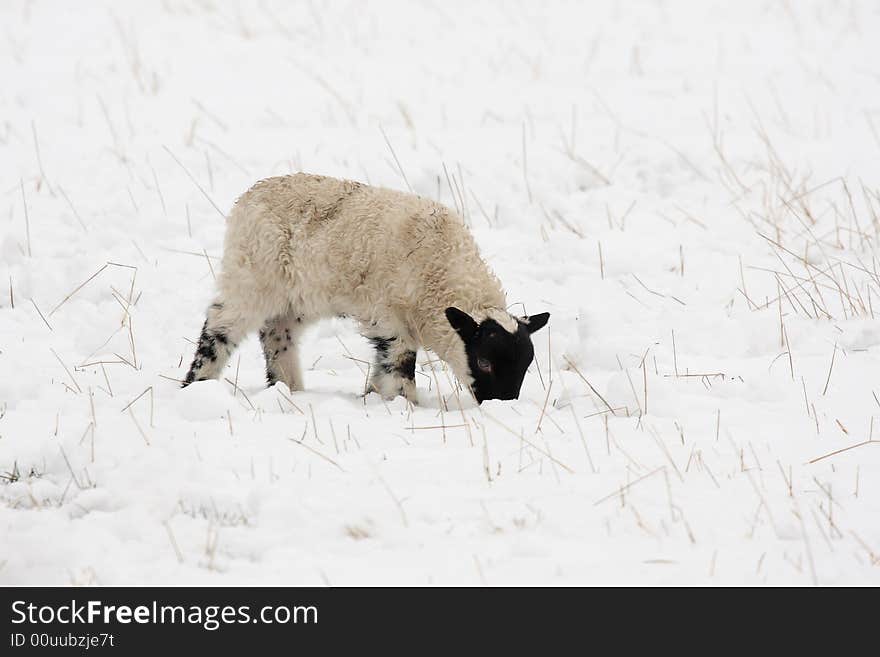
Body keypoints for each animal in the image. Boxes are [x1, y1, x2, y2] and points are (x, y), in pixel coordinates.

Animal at [182, 172, 548, 402]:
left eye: (526, 364)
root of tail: (250, 194)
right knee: (219, 327)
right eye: (484, 361)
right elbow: (398, 364)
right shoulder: (388, 316)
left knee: (276, 332)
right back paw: (197, 383)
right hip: (251, 276)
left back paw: (290, 389)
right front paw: (401, 402)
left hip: (299, 297)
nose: (503, 404)